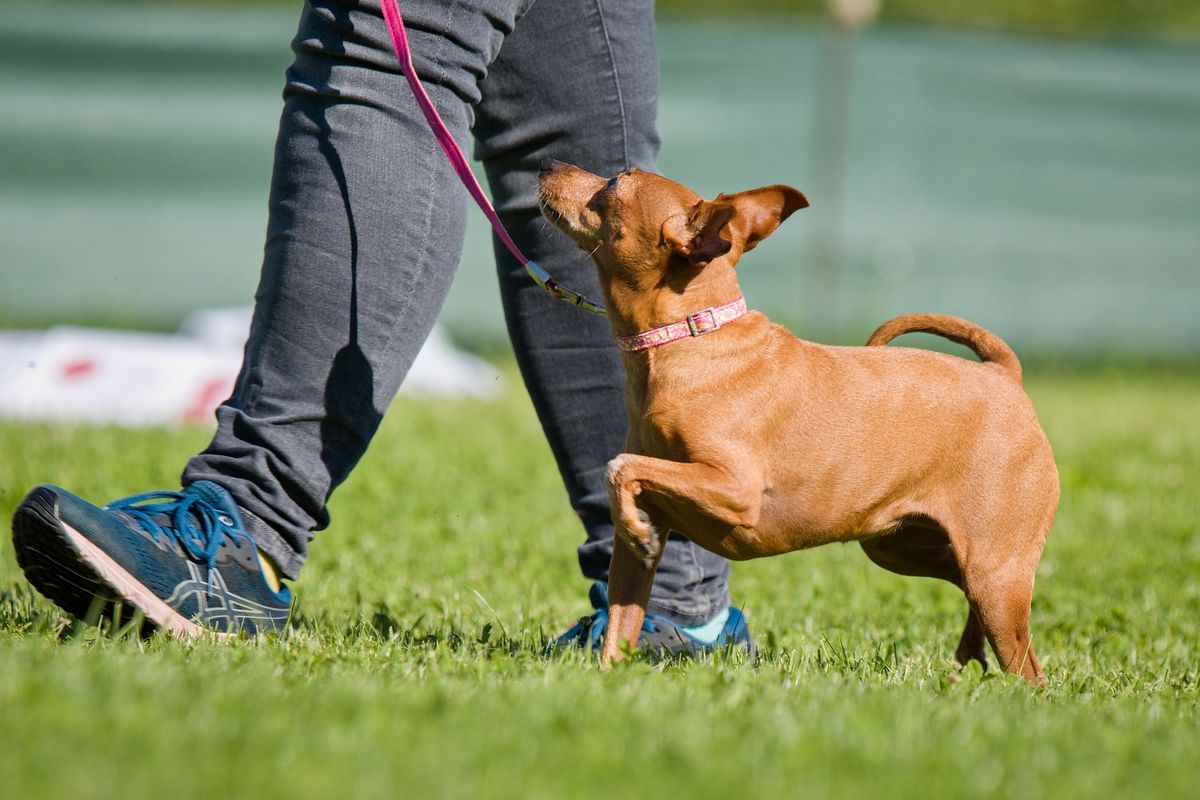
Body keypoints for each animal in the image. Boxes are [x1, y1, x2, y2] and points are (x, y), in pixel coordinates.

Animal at [540, 159, 1056, 686]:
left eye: (616, 182)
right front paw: (606, 674)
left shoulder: (736, 490)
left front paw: (634, 526)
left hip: (995, 570)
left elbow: (619, 466)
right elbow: (619, 622)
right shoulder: (635, 557)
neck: (689, 342)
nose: (546, 164)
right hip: (902, 547)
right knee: (965, 590)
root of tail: (1003, 374)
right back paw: (970, 648)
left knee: (1028, 667)